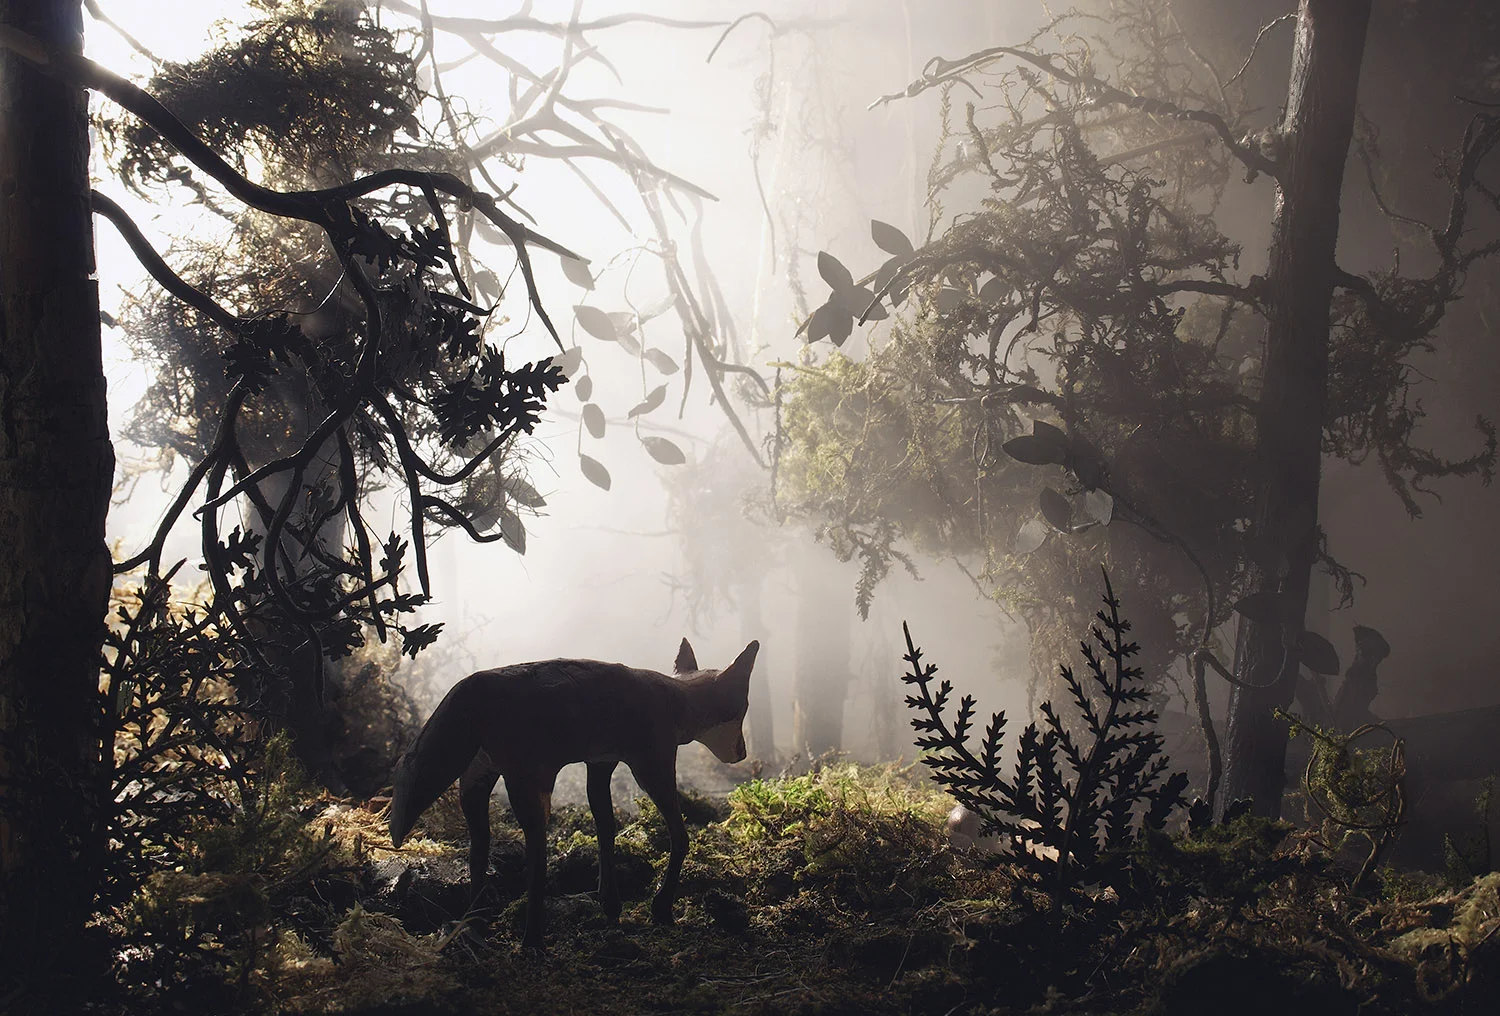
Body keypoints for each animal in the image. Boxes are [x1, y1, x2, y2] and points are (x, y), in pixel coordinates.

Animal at [388, 638, 759, 948]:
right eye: (743, 710)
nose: (743, 754)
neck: (675, 696)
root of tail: (472, 685)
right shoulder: (652, 767)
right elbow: (680, 838)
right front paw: (662, 908)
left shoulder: (600, 766)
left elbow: (606, 831)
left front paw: (610, 904)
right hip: (533, 791)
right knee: (536, 865)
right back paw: (532, 941)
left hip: (476, 788)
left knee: (478, 856)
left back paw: (475, 925)